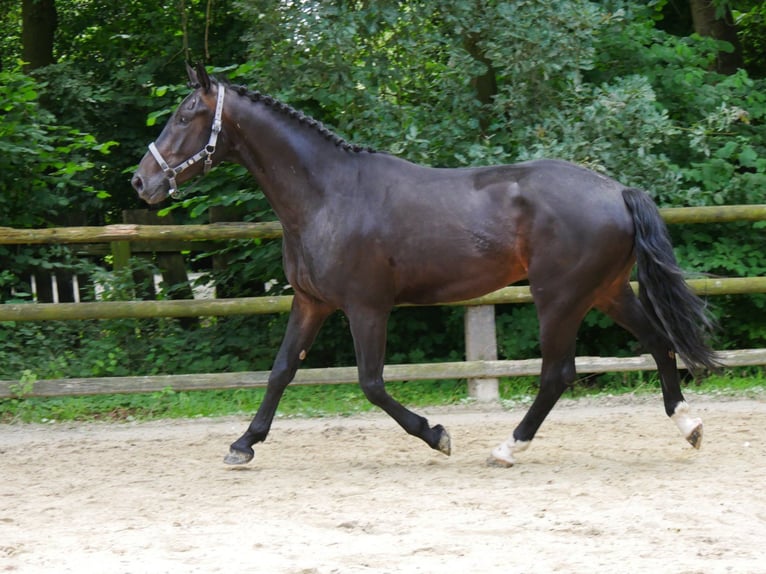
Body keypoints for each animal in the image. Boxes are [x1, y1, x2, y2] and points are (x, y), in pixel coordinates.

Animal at [132, 64, 720, 468]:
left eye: (185, 115)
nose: (142, 181)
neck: (327, 195)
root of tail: (617, 191)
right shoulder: (312, 302)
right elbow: (280, 372)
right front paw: (243, 444)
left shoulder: (366, 307)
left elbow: (371, 383)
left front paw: (438, 435)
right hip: (607, 291)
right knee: (658, 341)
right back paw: (688, 425)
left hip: (559, 298)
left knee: (558, 373)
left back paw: (507, 448)